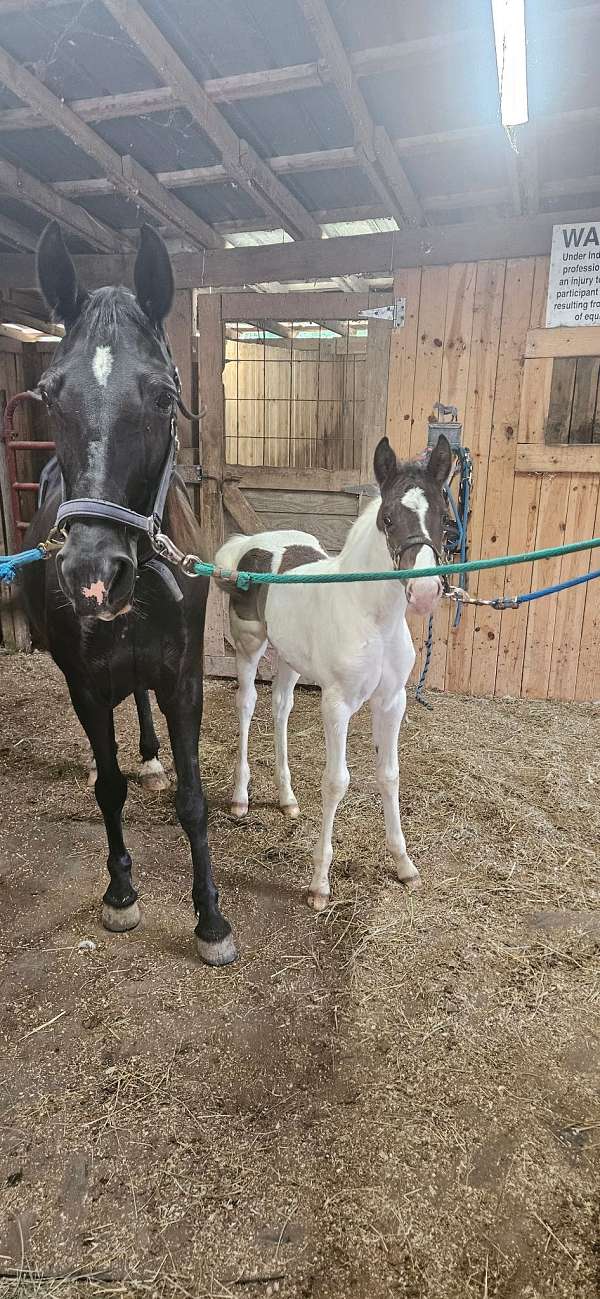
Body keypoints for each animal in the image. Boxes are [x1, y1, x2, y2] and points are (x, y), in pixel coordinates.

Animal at [19, 220, 237, 966]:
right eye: (50, 393)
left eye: (164, 396)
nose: (92, 575)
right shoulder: (84, 685)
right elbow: (107, 787)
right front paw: (120, 893)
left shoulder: (184, 680)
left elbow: (195, 802)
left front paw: (211, 919)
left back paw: (151, 755)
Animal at [215, 433, 452, 910]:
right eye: (388, 517)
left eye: (443, 517)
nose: (424, 591)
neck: (372, 616)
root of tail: (252, 542)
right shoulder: (337, 703)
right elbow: (337, 781)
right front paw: (319, 884)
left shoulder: (392, 701)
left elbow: (390, 775)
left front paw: (405, 866)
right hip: (250, 648)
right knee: (247, 705)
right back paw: (240, 798)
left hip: (289, 659)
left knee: (280, 709)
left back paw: (286, 798)